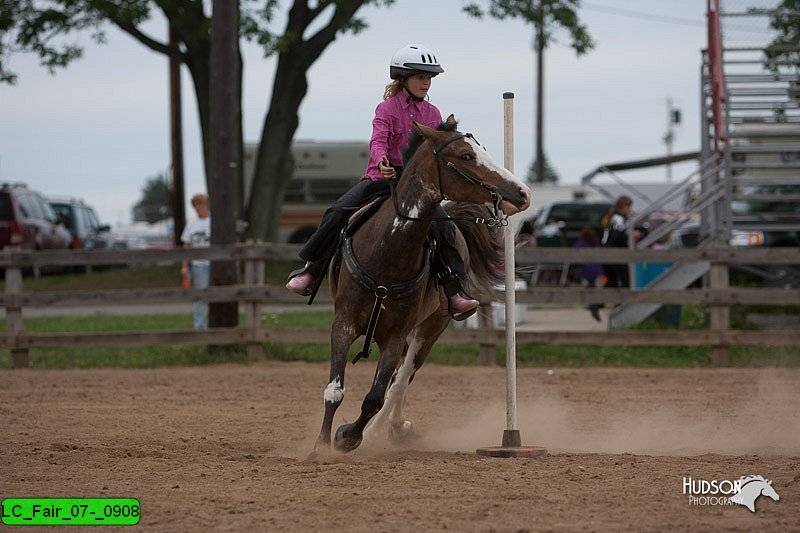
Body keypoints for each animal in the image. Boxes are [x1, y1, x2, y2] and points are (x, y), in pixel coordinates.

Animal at [312, 114, 532, 456]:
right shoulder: (343, 323)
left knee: (401, 380)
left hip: (431, 327)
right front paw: (322, 445)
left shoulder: (395, 335)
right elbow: (335, 390)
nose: (521, 193)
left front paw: (348, 436)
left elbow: (376, 397)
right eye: (465, 156)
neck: (386, 253)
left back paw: (387, 429)